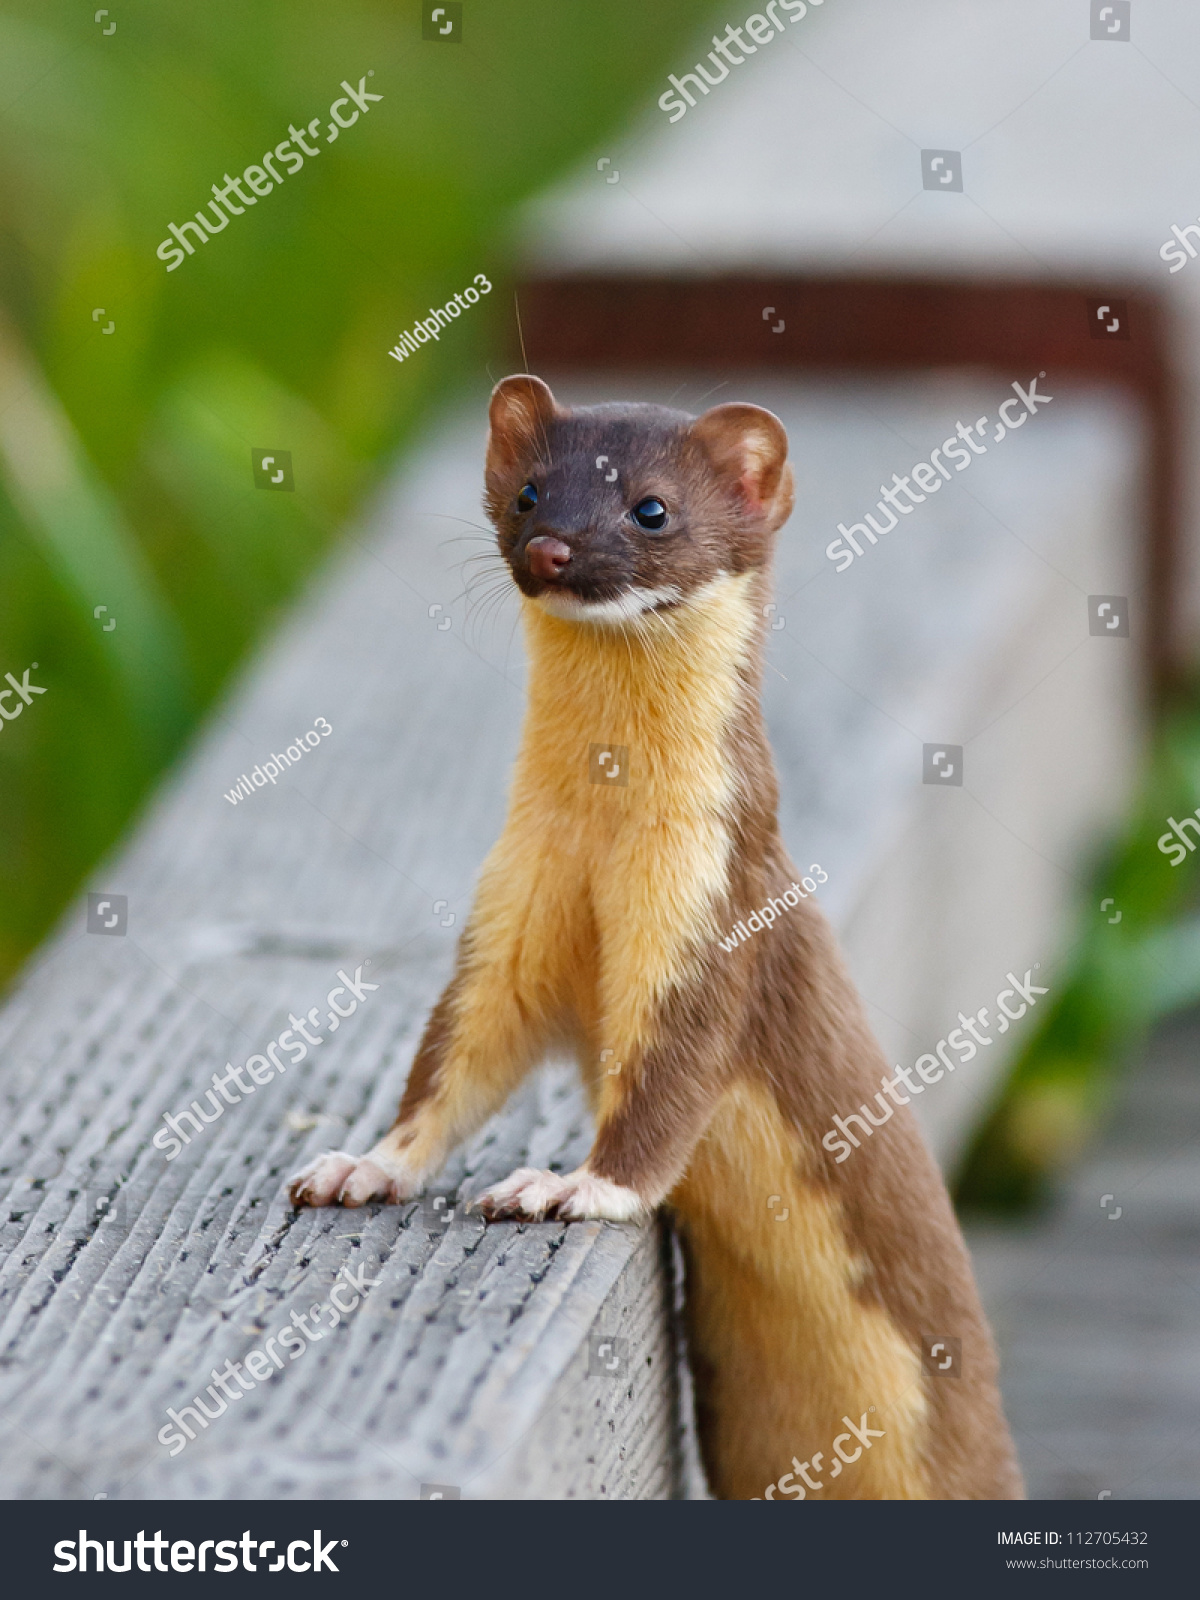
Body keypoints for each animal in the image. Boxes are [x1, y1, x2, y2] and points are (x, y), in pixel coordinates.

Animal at [291, 377, 1024, 1497]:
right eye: (528, 489)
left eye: (651, 509)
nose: (552, 547)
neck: (602, 835)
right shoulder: (514, 900)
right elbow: (458, 1055)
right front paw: (362, 1165)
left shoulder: (710, 908)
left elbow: (668, 1082)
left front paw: (564, 1184)